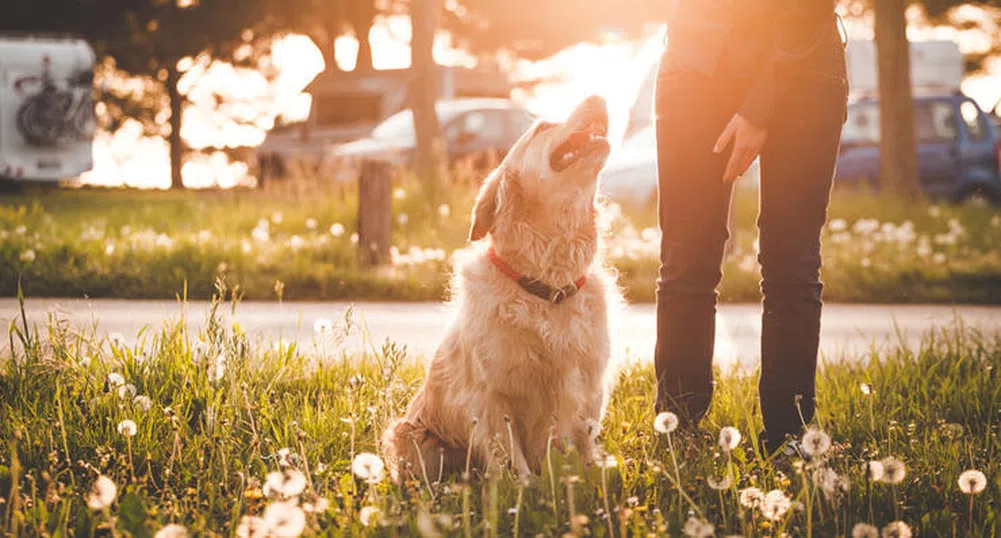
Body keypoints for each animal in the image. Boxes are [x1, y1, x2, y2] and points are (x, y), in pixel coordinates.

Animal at [380, 95, 620, 478]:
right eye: (542, 128)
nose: (598, 97)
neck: (547, 285)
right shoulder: (490, 394)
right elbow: (508, 454)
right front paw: (522, 487)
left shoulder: (588, 384)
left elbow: (583, 439)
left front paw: (589, 474)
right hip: (410, 433)